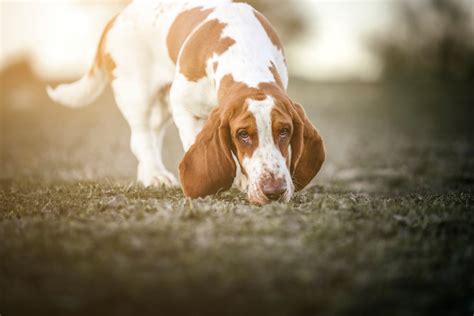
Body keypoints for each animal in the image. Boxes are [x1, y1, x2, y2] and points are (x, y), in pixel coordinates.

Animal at [47, 0, 326, 205]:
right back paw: (155, 175)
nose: (274, 191)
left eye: (285, 131)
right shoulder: (185, 108)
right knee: (141, 137)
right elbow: (194, 141)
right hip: (136, 95)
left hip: (161, 106)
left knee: (152, 136)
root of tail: (117, 16)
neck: (245, 57)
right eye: (243, 134)